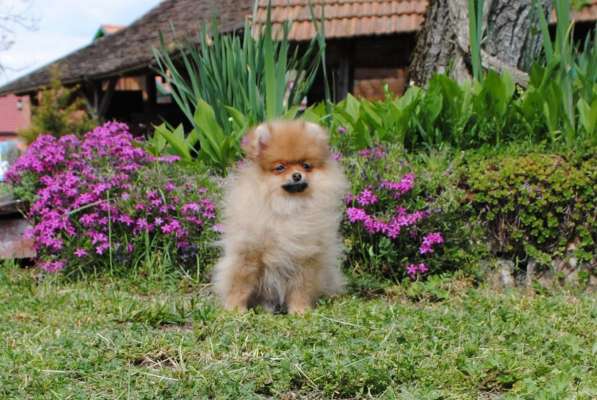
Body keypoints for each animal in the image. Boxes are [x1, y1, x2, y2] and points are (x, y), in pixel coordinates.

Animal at [211, 120, 346, 314]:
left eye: (306, 166)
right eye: (280, 167)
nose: (297, 175)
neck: (287, 206)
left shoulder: (305, 256)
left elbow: (301, 288)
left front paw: (300, 311)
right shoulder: (248, 252)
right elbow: (241, 283)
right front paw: (235, 308)